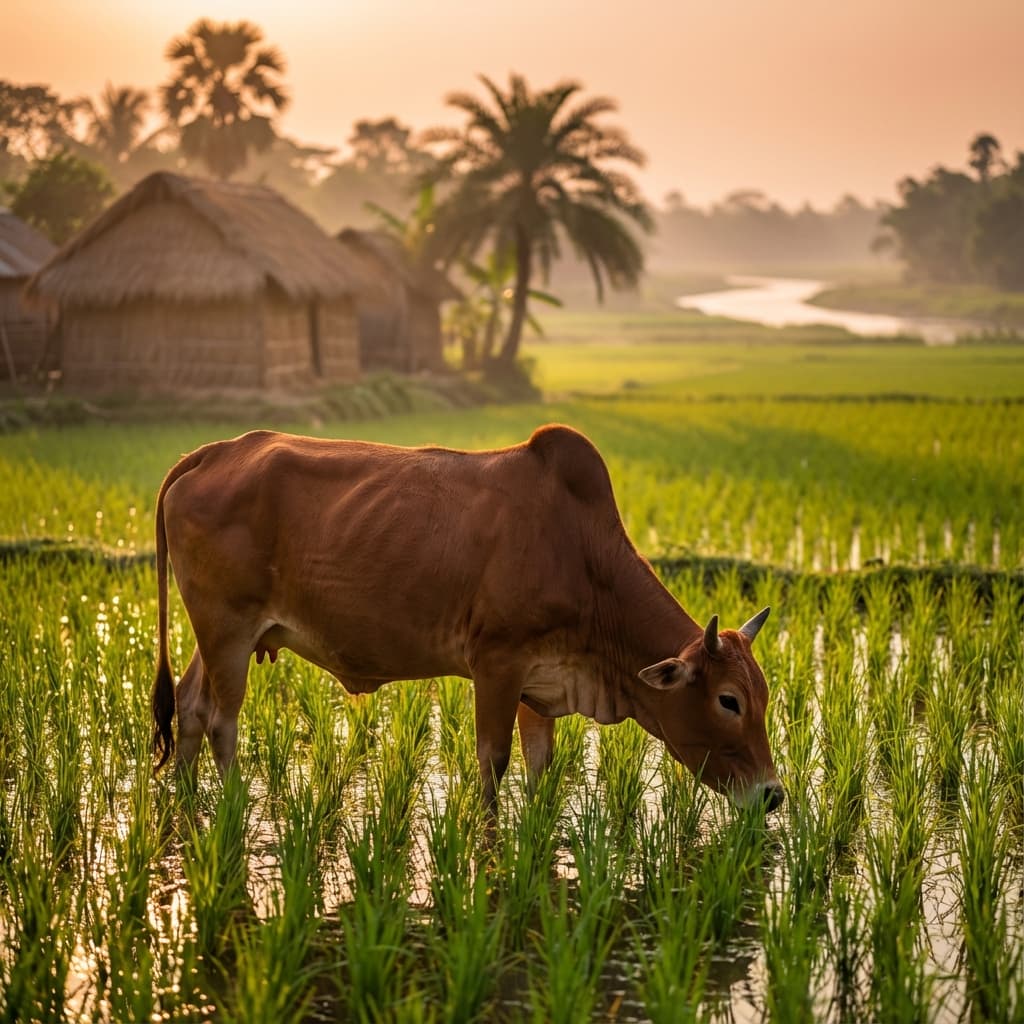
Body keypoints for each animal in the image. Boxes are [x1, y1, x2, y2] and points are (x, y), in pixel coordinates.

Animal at [151, 424, 784, 813]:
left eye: (764, 695)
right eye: (728, 700)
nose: (773, 795)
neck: (581, 553)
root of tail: (212, 452)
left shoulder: (539, 682)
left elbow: (540, 765)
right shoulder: (497, 663)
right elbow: (493, 763)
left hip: (217, 632)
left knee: (190, 706)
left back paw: (185, 805)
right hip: (228, 628)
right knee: (222, 722)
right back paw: (232, 810)